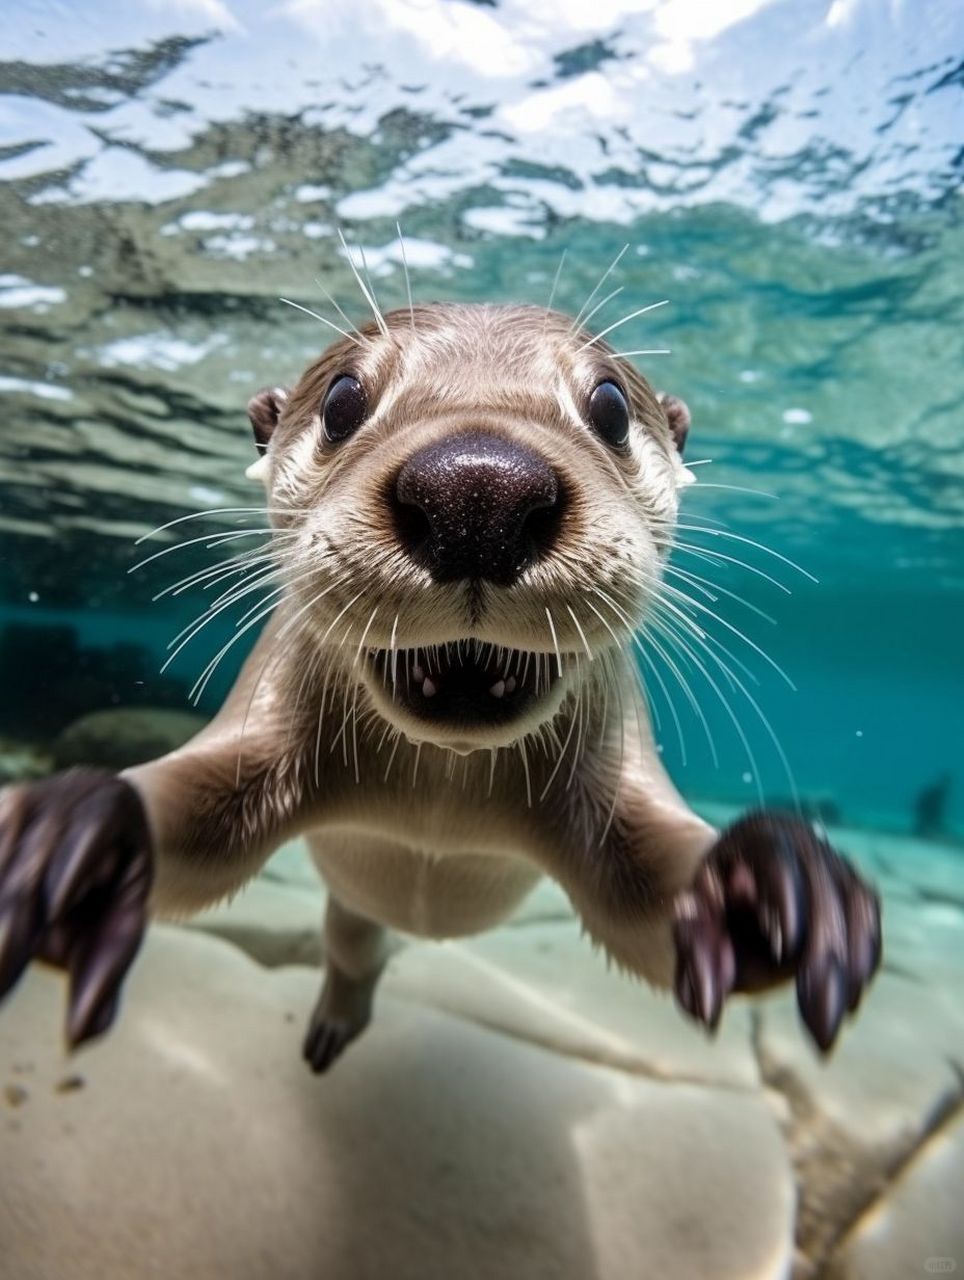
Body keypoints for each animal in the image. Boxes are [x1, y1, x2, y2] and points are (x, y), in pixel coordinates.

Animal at [0, 302, 875, 1070]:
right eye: (343, 400)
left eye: (611, 407)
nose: (478, 490)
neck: (440, 799)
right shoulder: (264, 724)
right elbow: (191, 831)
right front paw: (71, 842)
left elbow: (643, 907)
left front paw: (771, 885)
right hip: (350, 910)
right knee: (353, 946)